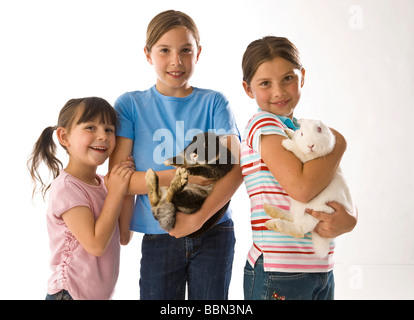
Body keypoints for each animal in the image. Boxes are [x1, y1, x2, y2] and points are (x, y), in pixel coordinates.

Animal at [264, 119, 354, 256]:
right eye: (301, 133)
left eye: (319, 130)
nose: (310, 146)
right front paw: (288, 131)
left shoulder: (307, 158)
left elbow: (300, 152)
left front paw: (287, 143)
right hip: (299, 207)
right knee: (293, 217)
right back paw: (272, 210)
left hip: (317, 211)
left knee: (300, 229)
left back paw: (276, 224)